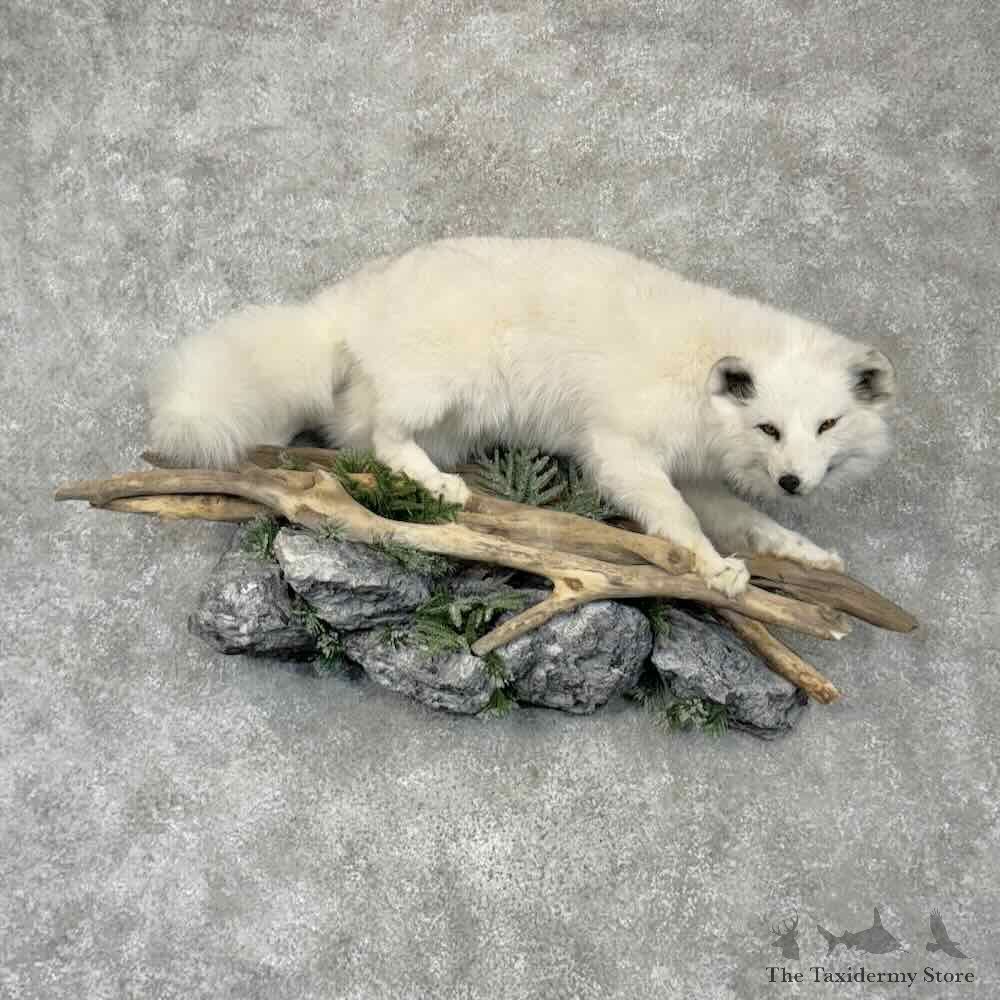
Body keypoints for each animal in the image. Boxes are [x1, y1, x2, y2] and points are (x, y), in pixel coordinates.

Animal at [147, 237, 896, 597]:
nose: (795, 482)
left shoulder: (702, 474)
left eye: (827, 426)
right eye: (769, 426)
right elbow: (675, 517)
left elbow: (747, 521)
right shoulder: (620, 447)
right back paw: (438, 485)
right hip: (445, 381)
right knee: (386, 436)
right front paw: (714, 570)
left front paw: (806, 552)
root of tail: (352, 300)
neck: (701, 381)